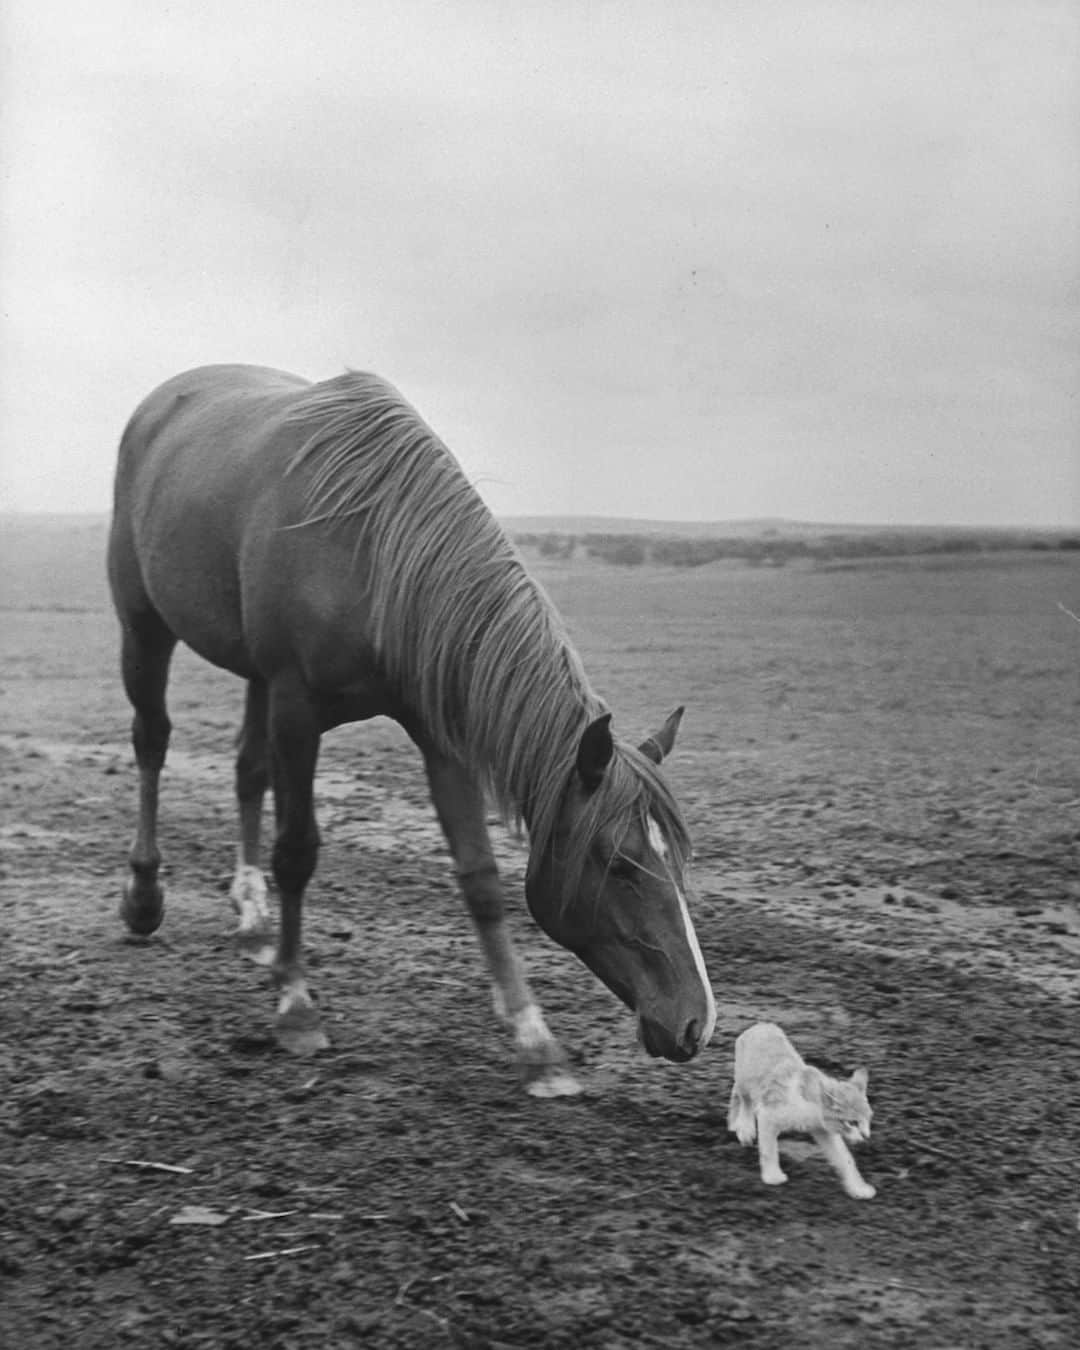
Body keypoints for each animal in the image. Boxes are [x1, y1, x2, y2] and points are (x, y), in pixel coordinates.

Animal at [109, 361, 718, 1096]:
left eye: (677, 861)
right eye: (620, 864)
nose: (695, 1024)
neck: (374, 557)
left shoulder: (438, 730)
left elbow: (479, 873)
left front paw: (534, 1038)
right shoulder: (297, 709)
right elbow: (298, 851)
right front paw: (295, 1005)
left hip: (253, 676)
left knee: (246, 769)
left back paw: (253, 920)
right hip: (145, 627)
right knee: (152, 742)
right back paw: (145, 896)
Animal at [729, 1015, 874, 1198]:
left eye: (868, 1120)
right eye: (853, 1122)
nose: (866, 1138)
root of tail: (760, 1025)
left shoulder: (823, 1129)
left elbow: (845, 1159)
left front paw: (858, 1188)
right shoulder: (768, 1116)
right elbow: (769, 1150)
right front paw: (773, 1177)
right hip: (745, 1081)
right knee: (745, 1101)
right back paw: (745, 1129)